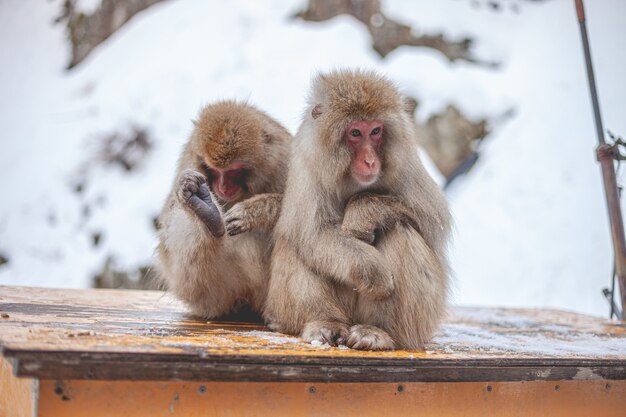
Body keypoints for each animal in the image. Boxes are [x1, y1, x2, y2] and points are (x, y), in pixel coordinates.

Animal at [156, 101, 292, 318]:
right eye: (214, 170)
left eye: (234, 171)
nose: (223, 187)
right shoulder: (189, 159)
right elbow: (168, 214)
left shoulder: (284, 159)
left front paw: (252, 212)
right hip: (206, 295)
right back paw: (207, 214)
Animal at [224, 70, 448, 350]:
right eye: (355, 133)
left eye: (376, 131)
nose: (370, 161)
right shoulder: (308, 164)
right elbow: (312, 233)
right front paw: (375, 273)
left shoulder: (406, 162)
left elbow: (433, 221)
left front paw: (362, 212)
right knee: (297, 240)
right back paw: (324, 323)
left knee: (400, 228)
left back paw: (378, 332)